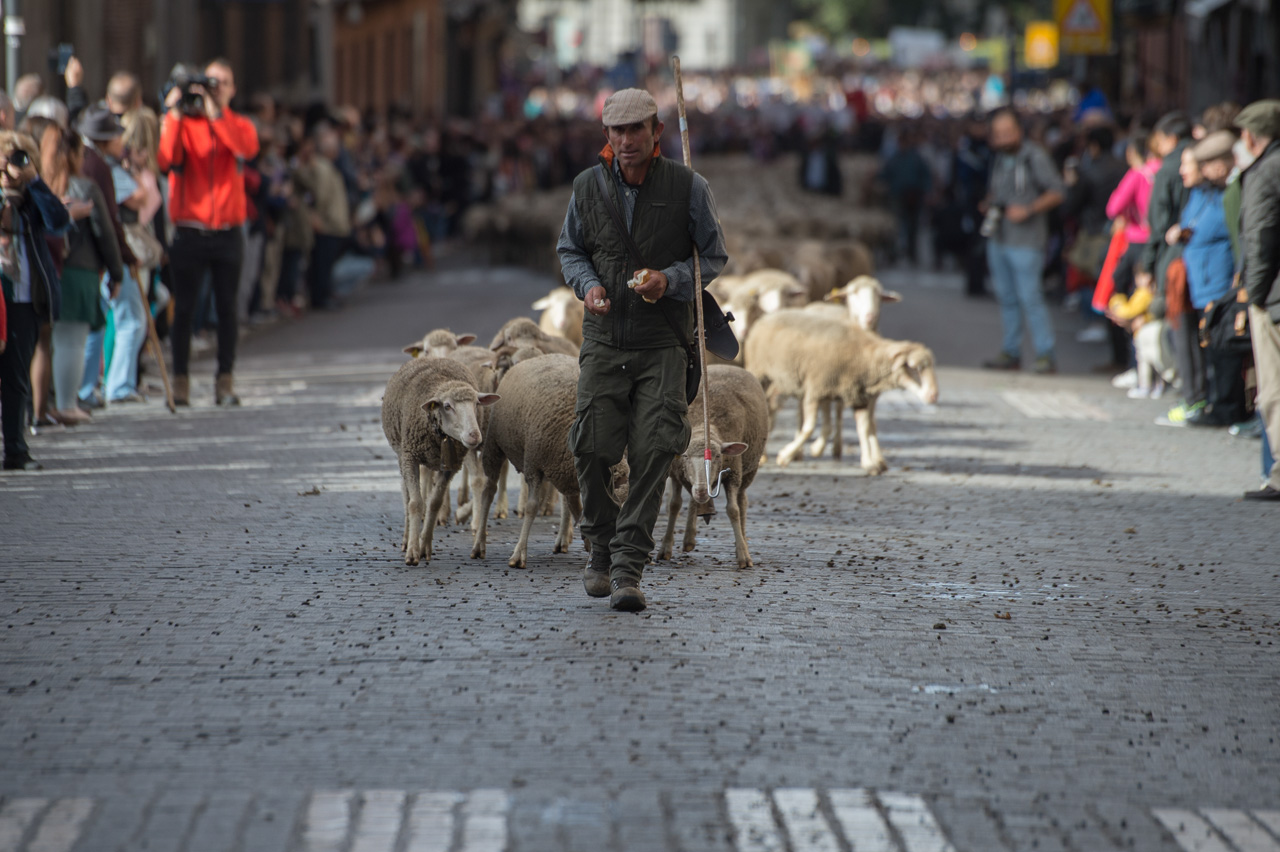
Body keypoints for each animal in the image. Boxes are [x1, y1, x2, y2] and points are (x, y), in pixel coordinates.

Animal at [378, 358, 494, 562]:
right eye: (447, 406)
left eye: (476, 404)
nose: (474, 436)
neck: (442, 436)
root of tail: (432, 357)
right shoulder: (410, 457)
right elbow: (415, 503)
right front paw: (413, 551)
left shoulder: (450, 467)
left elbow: (434, 503)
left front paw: (424, 546)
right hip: (402, 453)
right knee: (406, 495)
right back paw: (406, 539)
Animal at [471, 350, 629, 562]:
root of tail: (540, 356)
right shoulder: (533, 465)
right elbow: (531, 507)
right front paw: (519, 554)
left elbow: (580, 510)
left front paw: (589, 544)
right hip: (494, 446)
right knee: (488, 492)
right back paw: (479, 544)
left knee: (572, 503)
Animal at [665, 363, 762, 568]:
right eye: (685, 456)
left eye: (718, 455)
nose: (702, 490)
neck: (704, 425)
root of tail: (725, 365)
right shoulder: (676, 474)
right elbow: (674, 505)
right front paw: (665, 549)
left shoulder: (733, 474)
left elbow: (733, 510)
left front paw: (743, 556)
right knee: (693, 501)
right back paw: (689, 538)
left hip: (748, 472)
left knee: (742, 502)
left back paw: (741, 540)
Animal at [742, 310, 942, 473]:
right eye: (915, 368)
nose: (934, 396)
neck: (865, 357)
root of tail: (766, 317)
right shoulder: (815, 389)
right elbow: (808, 428)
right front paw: (785, 455)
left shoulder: (858, 397)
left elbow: (864, 428)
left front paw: (870, 464)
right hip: (760, 372)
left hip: (782, 381)